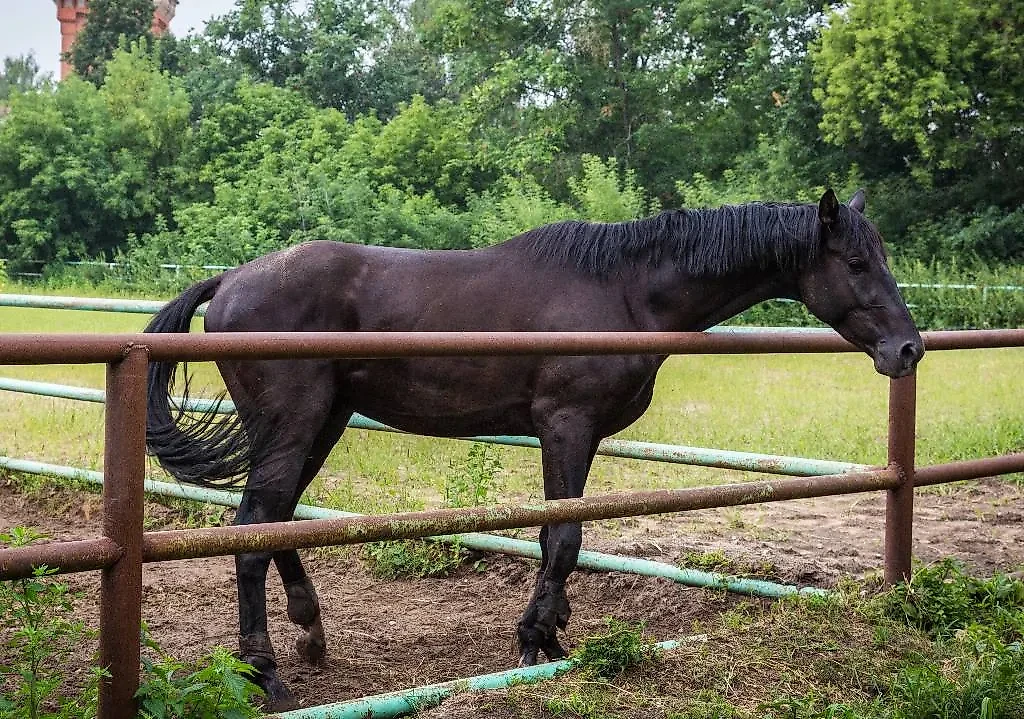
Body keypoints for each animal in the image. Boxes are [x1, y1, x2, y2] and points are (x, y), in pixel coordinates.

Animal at [144, 189, 923, 709]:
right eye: (857, 261)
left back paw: (310, 633)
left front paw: (550, 636)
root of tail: (232, 280)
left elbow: (555, 535)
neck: (626, 293)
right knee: (252, 529)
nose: (908, 348)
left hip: (322, 424)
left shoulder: (576, 435)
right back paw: (267, 674)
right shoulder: (565, 426)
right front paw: (533, 641)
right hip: (297, 425)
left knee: (272, 521)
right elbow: (565, 537)